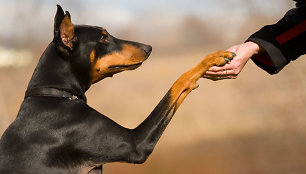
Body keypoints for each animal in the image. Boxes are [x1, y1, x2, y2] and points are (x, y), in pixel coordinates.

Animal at [0, 4, 234, 173]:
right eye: (103, 37)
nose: (149, 47)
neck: (56, 94)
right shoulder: (135, 144)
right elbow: (179, 82)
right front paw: (212, 58)